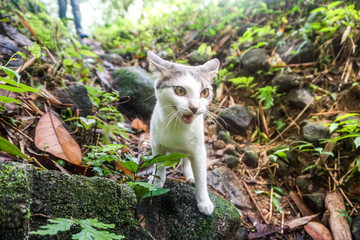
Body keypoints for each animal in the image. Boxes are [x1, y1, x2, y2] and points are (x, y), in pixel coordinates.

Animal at [146, 49, 219, 215]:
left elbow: (201, 177)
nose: (195, 107)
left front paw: (204, 202)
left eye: (205, 92)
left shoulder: (199, 149)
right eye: (179, 90)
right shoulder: (156, 142)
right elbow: (159, 163)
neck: (177, 125)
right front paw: (157, 181)